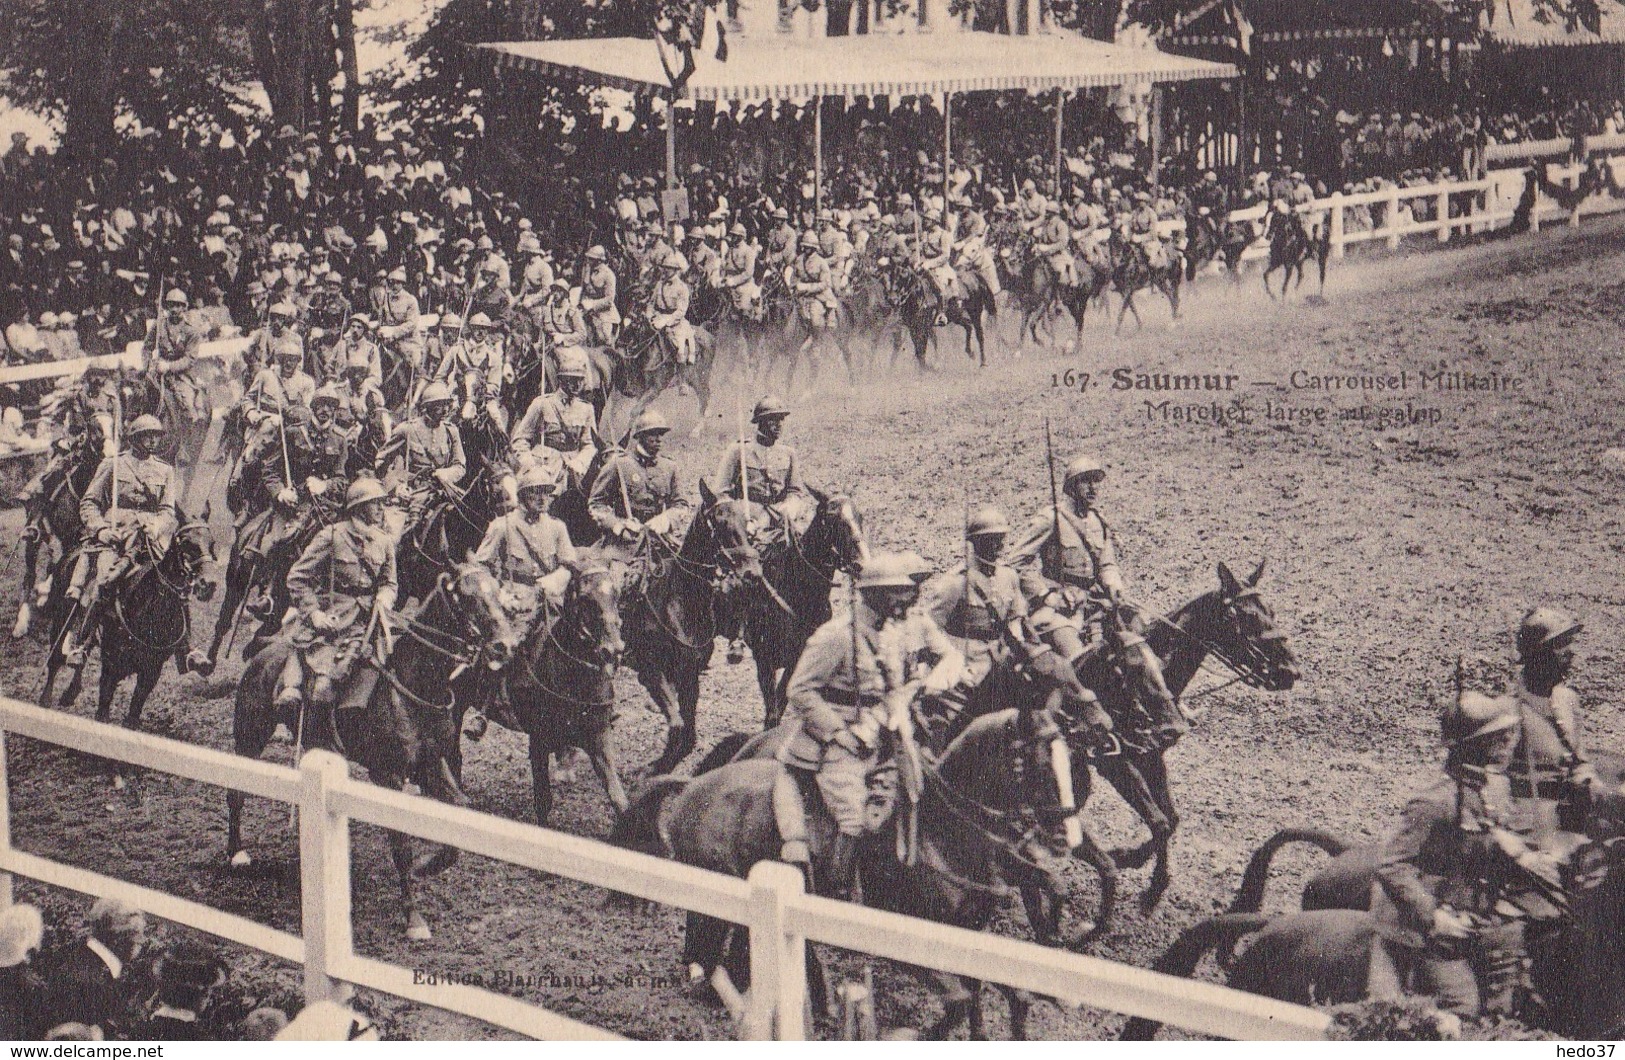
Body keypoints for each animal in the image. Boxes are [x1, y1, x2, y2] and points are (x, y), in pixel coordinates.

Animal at [41, 516, 221, 725]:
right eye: (186, 543)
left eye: (212, 543)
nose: (208, 584)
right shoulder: (110, 666)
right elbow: (103, 707)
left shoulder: (152, 670)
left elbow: (134, 710)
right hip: (60, 621)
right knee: (54, 660)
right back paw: (46, 699)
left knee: (85, 647)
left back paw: (70, 692)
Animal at [229, 562, 516, 936]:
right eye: (467, 597)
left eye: (499, 592)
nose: (505, 646)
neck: (411, 684)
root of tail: (263, 651)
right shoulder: (388, 775)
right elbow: (400, 845)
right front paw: (413, 917)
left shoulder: (432, 764)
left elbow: (460, 811)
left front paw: (429, 865)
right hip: (249, 736)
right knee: (235, 792)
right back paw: (236, 853)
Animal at [468, 562, 630, 829]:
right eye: (585, 598)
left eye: (617, 593)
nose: (614, 649)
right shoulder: (538, 740)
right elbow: (543, 801)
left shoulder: (599, 735)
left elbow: (619, 799)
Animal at [614, 699, 1085, 1040]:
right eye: (1038, 763)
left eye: (1070, 762)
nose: (1068, 836)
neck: (941, 835)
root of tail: (691, 786)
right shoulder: (905, 946)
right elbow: (958, 1001)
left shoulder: (968, 939)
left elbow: (1004, 995)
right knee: (706, 946)